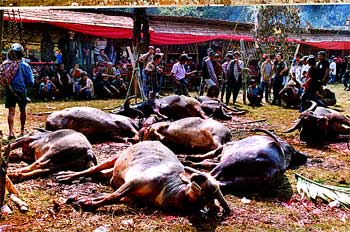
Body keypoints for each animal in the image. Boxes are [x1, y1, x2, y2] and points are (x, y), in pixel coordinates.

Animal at [55, 141, 230, 216]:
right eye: (205, 177)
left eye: (213, 188)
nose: (197, 176)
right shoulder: (136, 181)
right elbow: (113, 196)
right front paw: (83, 201)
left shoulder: (132, 197)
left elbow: (110, 197)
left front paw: (84, 201)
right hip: (117, 156)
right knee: (93, 169)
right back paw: (65, 175)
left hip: (113, 173)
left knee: (100, 174)